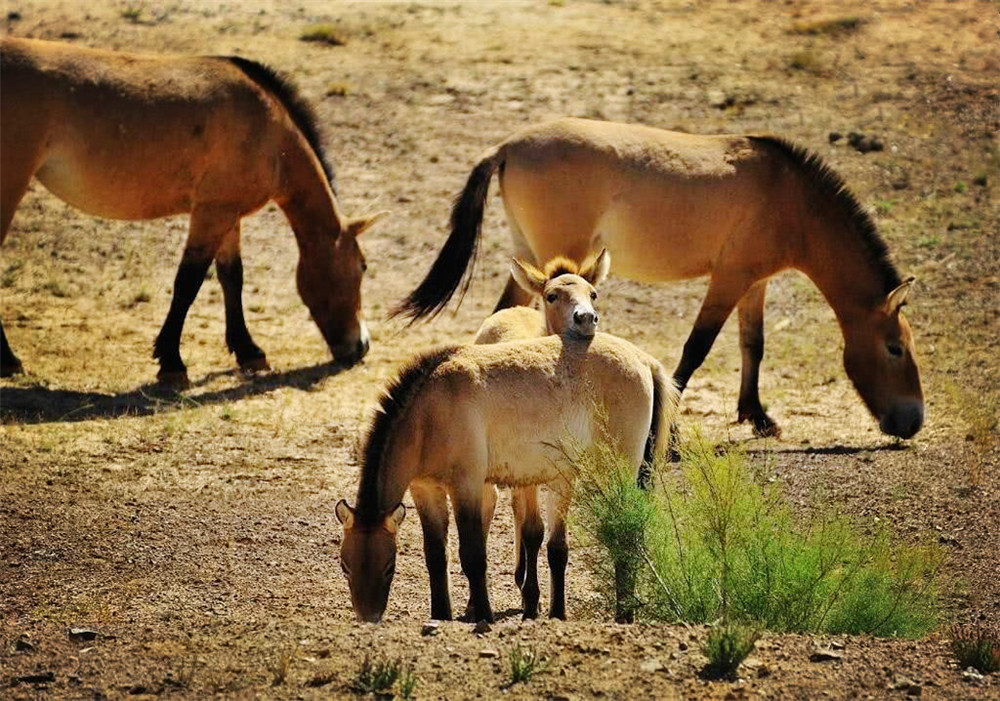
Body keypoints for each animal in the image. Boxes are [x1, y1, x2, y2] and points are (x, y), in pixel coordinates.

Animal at [0, 38, 384, 382]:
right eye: (362, 266)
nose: (361, 347)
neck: (269, 128)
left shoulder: (228, 216)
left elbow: (232, 278)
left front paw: (249, 351)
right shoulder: (210, 215)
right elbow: (189, 281)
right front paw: (172, 362)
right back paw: (9, 360)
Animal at [394, 117, 924, 440]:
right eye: (895, 348)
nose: (914, 421)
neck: (789, 195)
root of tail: (508, 146)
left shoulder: (755, 282)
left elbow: (753, 344)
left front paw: (757, 416)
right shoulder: (729, 278)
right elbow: (696, 348)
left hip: (530, 260)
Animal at [472, 249, 612, 616]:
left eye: (593, 293)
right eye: (552, 295)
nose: (586, 318)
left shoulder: (565, 473)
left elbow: (557, 544)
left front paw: (555, 609)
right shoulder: (530, 473)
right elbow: (534, 531)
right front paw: (532, 602)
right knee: (494, 507)